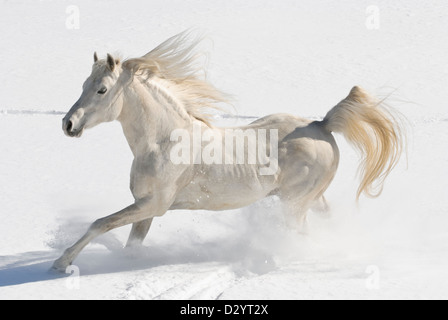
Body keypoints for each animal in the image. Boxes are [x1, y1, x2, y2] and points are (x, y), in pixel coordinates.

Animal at [52, 31, 406, 272]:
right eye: (83, 85)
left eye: (102, 89)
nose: (69, 124)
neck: (164, 141)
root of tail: (322, 125)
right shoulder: (145, 208)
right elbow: (131, 244)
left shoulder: (154, 204)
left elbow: (99, 223)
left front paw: (61, 263)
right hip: (310, 199)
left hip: (295, 203)